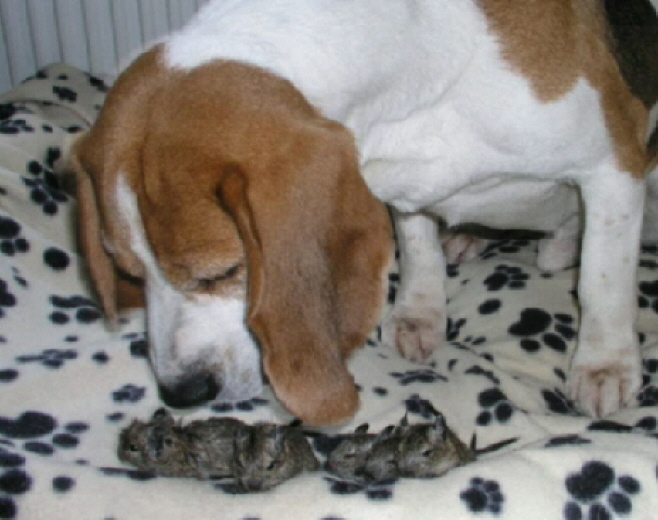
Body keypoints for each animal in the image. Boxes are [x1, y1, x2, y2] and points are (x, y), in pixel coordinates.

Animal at [72, 0, 656, 424]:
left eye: (224, 272)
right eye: (129, 272)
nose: (181, 392)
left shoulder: (613, 165)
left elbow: (603, 281)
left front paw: (605, 366)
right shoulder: (405, 185)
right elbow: (417, 249)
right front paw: (419, 314)